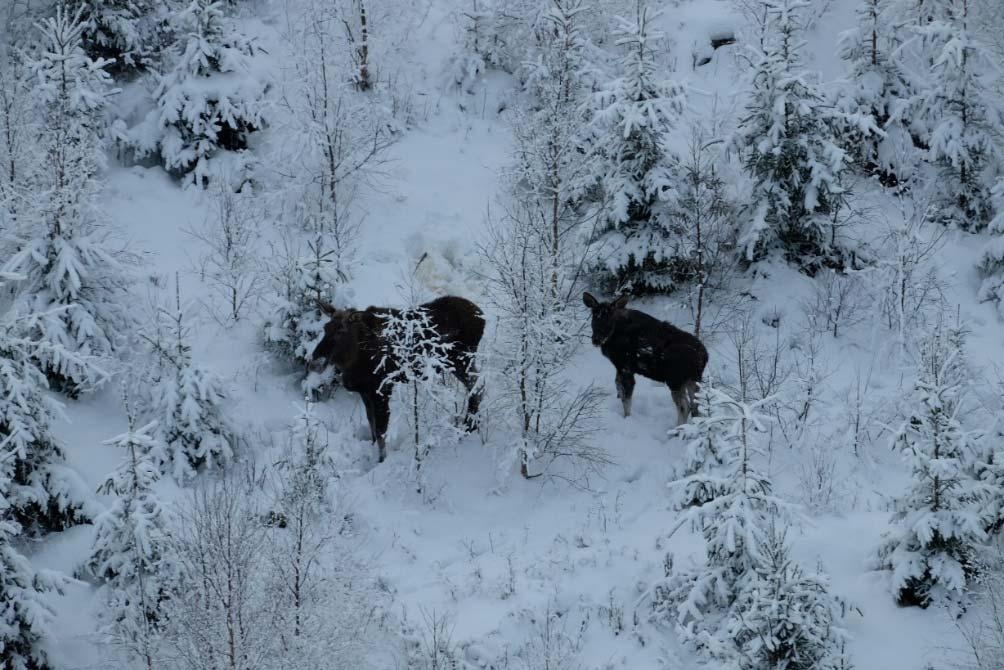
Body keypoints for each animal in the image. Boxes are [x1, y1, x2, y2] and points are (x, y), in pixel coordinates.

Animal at [313, 295, 485, 464]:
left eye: (341, 330)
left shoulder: (382, 389)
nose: (316, 358)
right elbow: (371, 424)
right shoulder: (365, 392)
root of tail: (482, 317)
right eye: (325, 328)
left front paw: (381, 460)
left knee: (477, 387)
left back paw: (468, 428)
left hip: (462, 360)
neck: (354, 358)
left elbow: (381, 431)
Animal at [582, 293, 706, 423]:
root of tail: (704, 357)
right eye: (594, 318)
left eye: (610, 320)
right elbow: (618, 386)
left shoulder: (625, 367)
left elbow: (626, 398)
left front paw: (627, 418)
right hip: (693, 379)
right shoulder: (619, 366)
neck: (612, 338)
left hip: (676, 380)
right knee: (696, 404)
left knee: (684, 407)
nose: (596, 339)